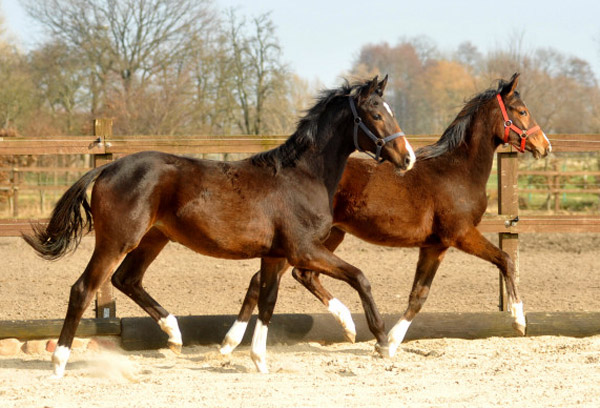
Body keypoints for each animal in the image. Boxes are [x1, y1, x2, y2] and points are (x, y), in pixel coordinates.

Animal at [24, 75, 418, 376]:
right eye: (375, 114)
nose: (408, 159)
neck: (302, 177)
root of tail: (107, 166)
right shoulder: (303, 249)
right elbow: (359, 276)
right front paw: (380, 340)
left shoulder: (276, 255)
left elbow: (267, 300)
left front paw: (259, 360)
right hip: (117, 240)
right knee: (84, 288)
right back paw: (59, 362)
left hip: (153, 239)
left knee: (126, 280)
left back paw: (174, 334)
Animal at [220, 72, 552, 356]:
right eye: (522, 111)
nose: (545, 146)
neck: (456, 171)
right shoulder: (461, 234)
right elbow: (505, 259)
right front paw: (519, 321)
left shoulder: (435, 245)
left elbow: (418, 296)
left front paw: (390, 342)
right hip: (309, 241)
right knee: (291, 275)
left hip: (323, 237)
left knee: (282, 277)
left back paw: (233, 342)